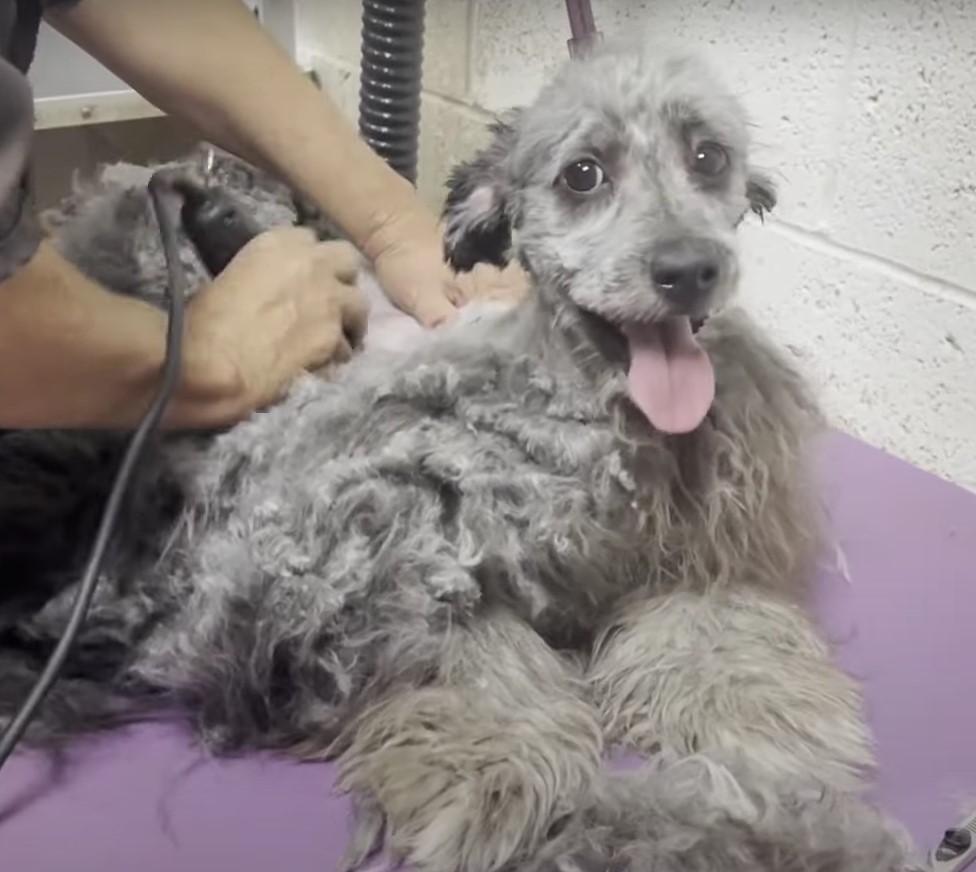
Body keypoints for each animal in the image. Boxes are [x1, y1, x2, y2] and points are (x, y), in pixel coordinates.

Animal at [0, 41, 916, 872]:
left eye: (709, 156)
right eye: (582, 175)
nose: (688, 269)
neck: (586, 423)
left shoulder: (701, 560)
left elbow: (723, 640)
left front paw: (771, 734)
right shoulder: (399, 572)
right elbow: (484, 672)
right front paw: (496, 776)